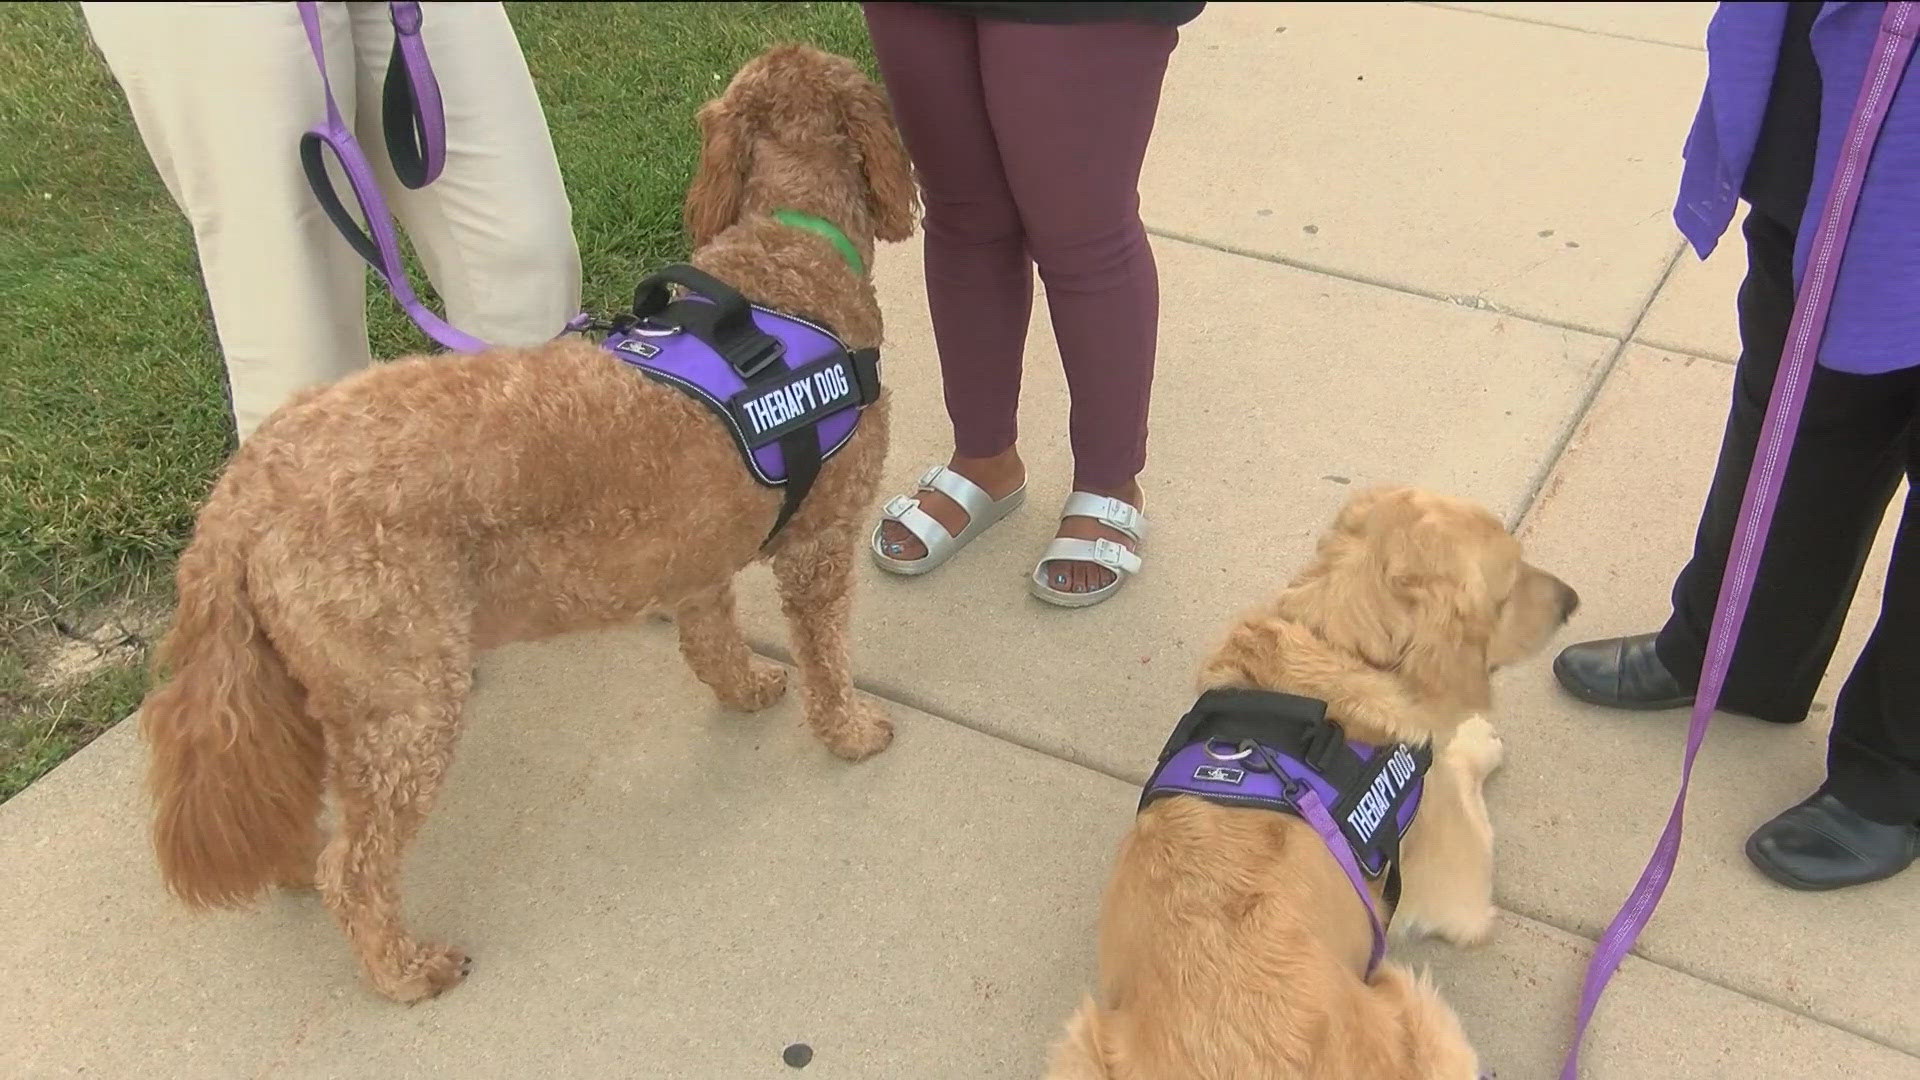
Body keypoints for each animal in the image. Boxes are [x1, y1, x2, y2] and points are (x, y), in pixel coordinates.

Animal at [135, 42, 913, 999]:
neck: (788, 242)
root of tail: (239, 495)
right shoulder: (819, 544)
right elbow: (827, 657)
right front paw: (850, 732)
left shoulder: (693, 553)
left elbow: (711, 642)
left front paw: (744, 691)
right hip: (407, 703)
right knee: (354, 869)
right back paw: (404, 969)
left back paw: (291, 863)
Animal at [1052, 488, 1574, 1076]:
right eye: (1509, 586)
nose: (1572, 602)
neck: (1339, 644)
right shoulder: (1454, 886)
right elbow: (1457, 768)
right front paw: (1478, 739)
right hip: (1419, 1000)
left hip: (1078, 1041)